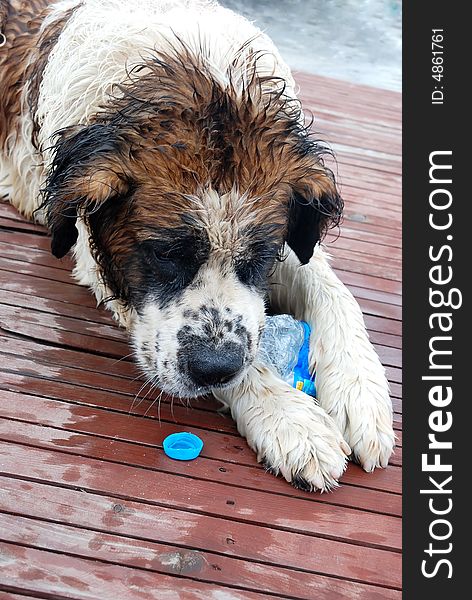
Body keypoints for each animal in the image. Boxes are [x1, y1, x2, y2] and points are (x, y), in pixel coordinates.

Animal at [0, 0, 394, 492]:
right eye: (164, 254)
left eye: (261, 255)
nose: (213, 367)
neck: (197, 72)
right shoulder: (97, 260)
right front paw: (290, 418)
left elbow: (332, 292)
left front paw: (361, 390)